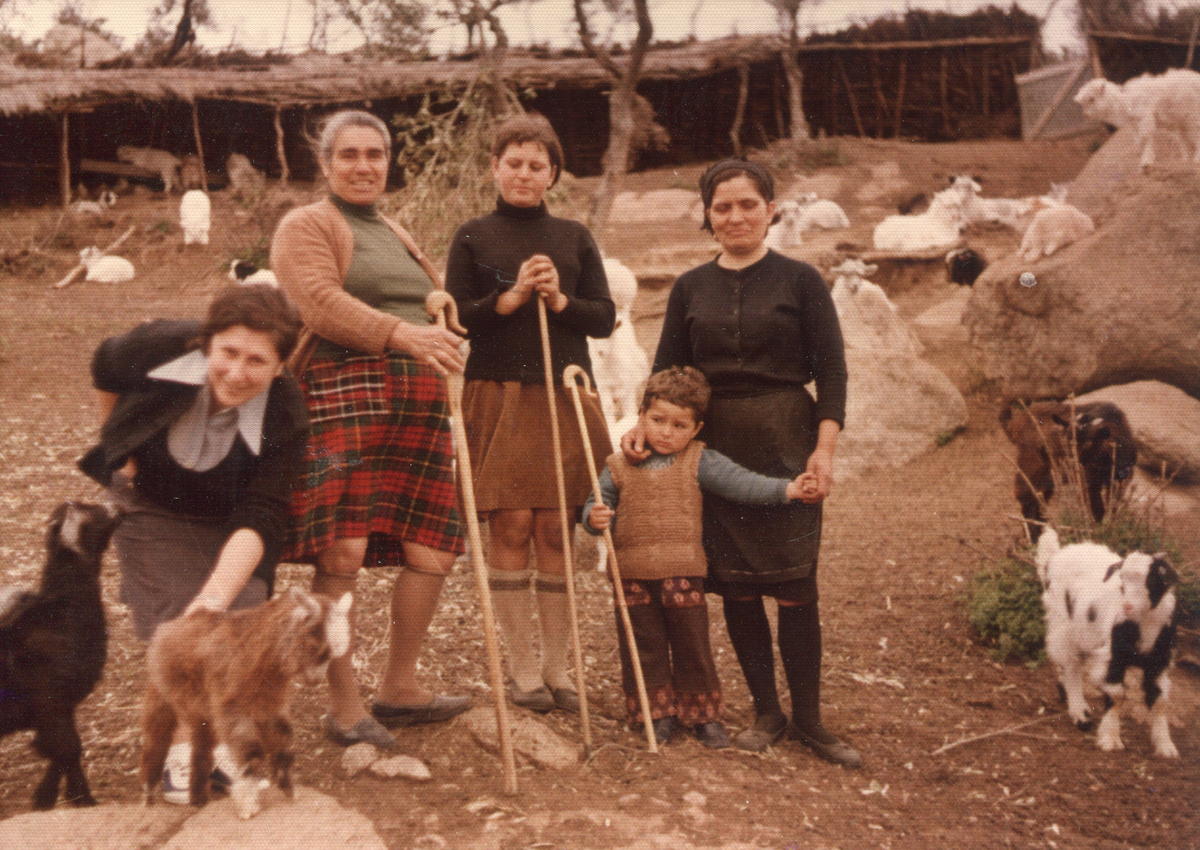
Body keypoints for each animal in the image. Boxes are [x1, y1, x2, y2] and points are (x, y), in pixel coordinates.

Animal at [1036, 530, 1176, 758]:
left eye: (1153, 578)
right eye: (1122, 582)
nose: (1127, 606)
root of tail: (1055, 557)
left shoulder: (1159, 662)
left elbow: (1160, 700)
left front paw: (1165, 746)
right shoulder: (1112, 656)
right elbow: (1117, 694)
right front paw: (1110, 739)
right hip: (1065, 626)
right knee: (1072, 667)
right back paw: (1080, 713)